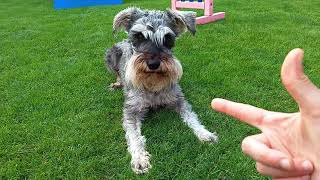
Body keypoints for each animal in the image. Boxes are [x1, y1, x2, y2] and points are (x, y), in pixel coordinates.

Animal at [105, 7, 218, 174]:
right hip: (111, 54)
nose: (153, 63)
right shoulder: (131, 110)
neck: (152, 83)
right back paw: (117, 83)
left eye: (167, 38)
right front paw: (139, 159)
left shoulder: (179, 100)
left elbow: (192, 117)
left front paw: (205, 134)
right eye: (139, 36)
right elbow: (133, 135)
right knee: (118, 73)